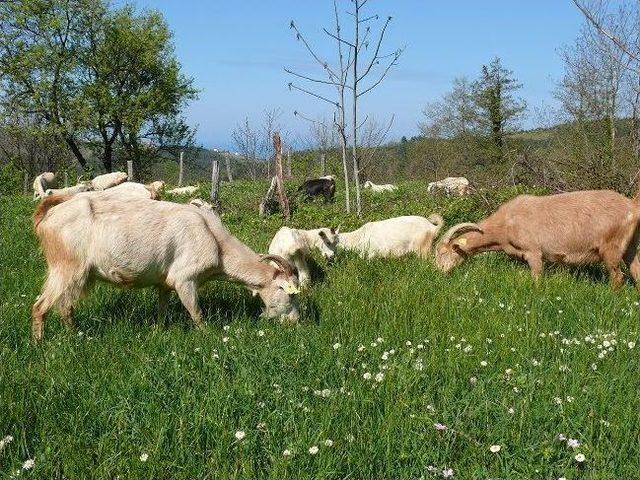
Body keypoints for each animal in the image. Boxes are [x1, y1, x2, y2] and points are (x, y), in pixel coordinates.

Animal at [30, 193, 300, 340]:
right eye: (287, 291)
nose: (296, 322)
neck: (215, 240)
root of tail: (47, 216)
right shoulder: (185, 279)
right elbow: (196, 312)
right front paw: (208, 336)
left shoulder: (165, 282)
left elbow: (162, 310)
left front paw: (159, 331)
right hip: (65, 267)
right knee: (40, 306)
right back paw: (40, 345)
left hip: (81, 275)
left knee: (65, 306)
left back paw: (75, 336)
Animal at [432, 188, 640, 286]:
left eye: (442, 253)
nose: (437, 274)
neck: (504, 224)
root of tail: (631, 206)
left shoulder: (533, 252)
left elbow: (537, 278)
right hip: (630, 246)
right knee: (636, 271)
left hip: (612, 246)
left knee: (618, 277)